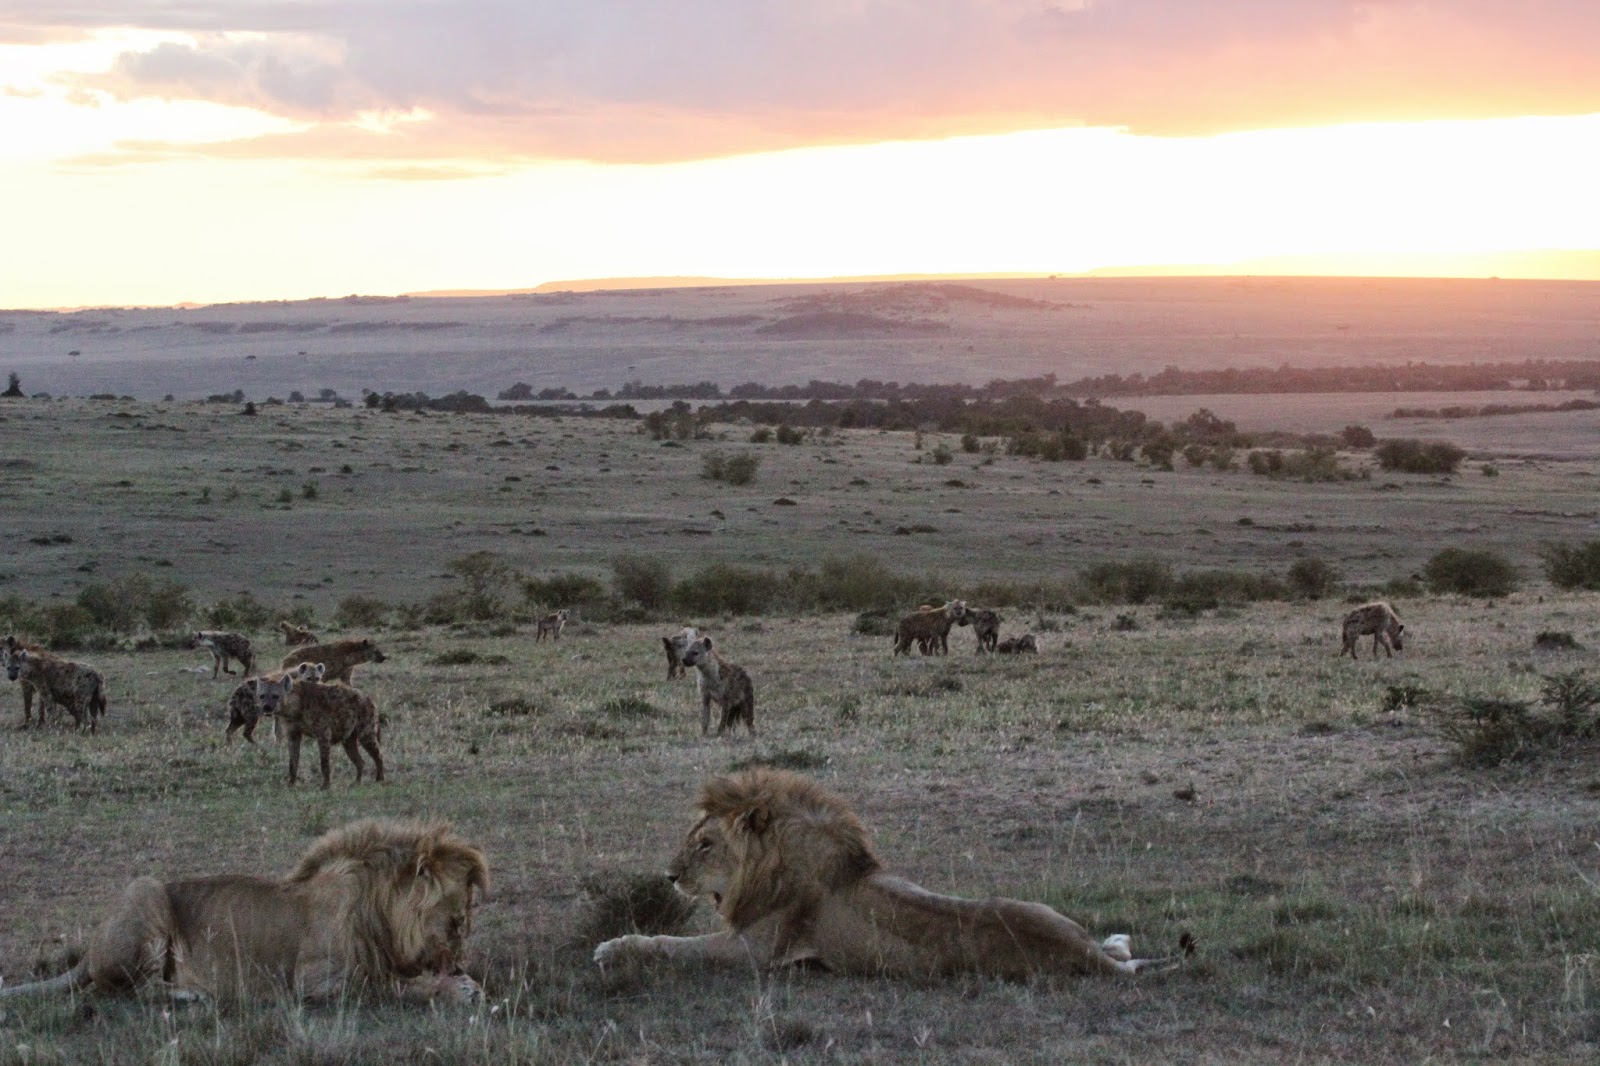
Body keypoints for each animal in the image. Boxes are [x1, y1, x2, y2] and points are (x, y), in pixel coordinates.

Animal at [0, 819, 489, 1005]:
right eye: (458, 920)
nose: (462, 961)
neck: (381, 911)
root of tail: (90, 951)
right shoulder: (314, 981)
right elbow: (385, 985)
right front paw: (456, 988)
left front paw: (463, 982)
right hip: (145, 892)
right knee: (125, 992)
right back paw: (192, 995)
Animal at [594, 768, 1188, 980]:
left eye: (704, 843)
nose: (668, 877)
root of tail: (1082, 955)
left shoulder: (754, 953)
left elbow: (667, 943)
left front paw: (612, 947)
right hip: (1047, 912)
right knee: (1118, 950)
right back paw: (1116, 939)